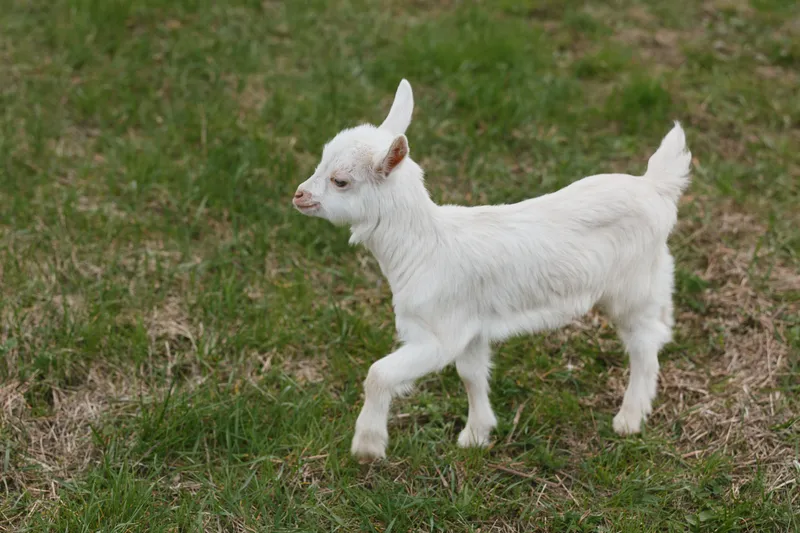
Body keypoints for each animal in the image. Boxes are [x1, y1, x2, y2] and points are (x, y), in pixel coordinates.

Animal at [292, 79, 691, 461]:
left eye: (341, 181)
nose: (298, 195)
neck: (423, 248)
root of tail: (657, 187)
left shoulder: (440, 334)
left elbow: (379, 373)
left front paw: (368, 447)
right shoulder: (471, 327)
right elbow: (471, 374)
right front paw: (476, 434)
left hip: (630, 286)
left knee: (643, 343)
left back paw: (630, 418)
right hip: (655, 274)